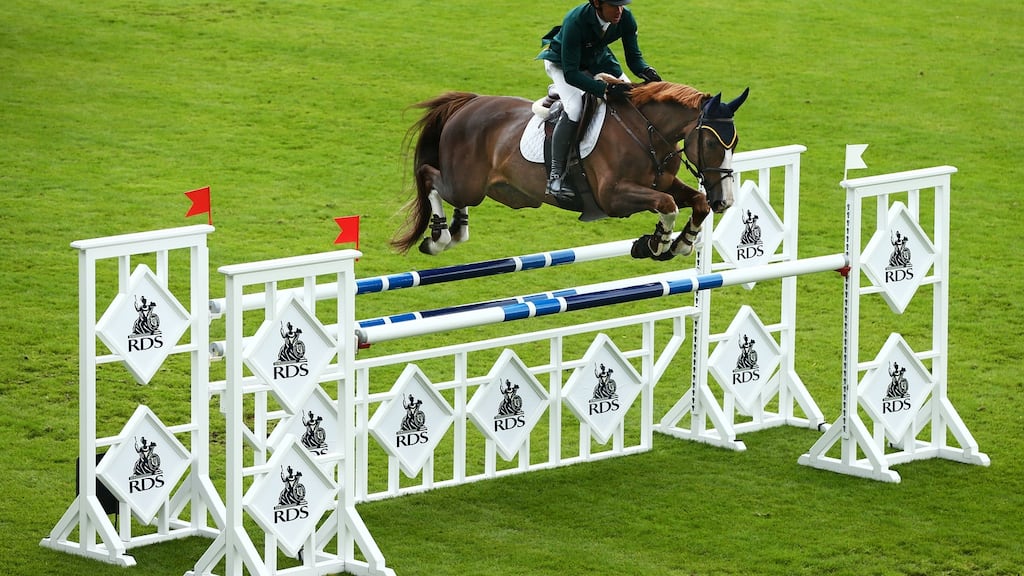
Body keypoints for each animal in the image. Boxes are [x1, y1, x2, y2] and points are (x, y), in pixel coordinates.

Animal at [391, 81, 749, 260]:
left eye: (735, 142)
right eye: (712, 142)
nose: (725, 201)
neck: (645, 131)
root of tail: (468, 103)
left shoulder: (664, 181)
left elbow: (693, 202)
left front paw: (682, 243)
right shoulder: (613, 198)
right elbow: (667, 204)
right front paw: (656, 243)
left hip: (493, 189)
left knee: (451, 194)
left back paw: (456, 232)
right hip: (466, 183)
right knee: (429, 176)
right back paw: (438, 238)